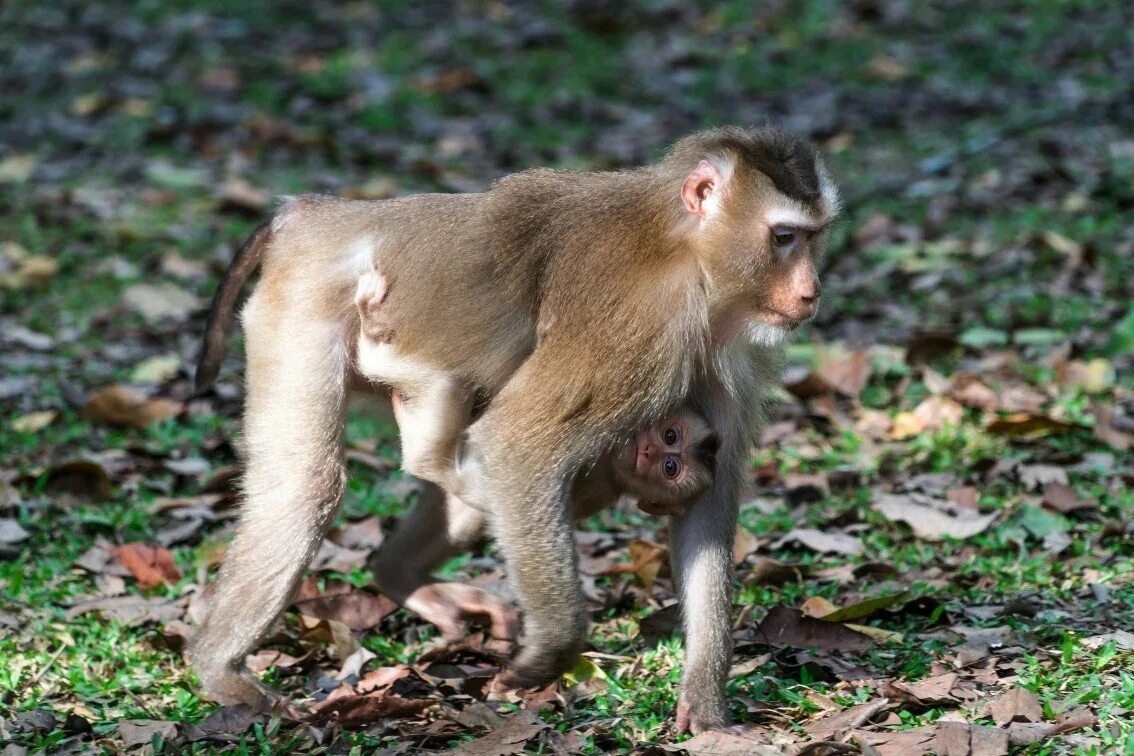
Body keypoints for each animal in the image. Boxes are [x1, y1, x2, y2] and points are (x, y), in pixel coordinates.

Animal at [351, 268, 716, 516]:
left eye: (670, 469)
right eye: (670, 435)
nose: (649, 451)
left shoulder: (596, 482)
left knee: (438, 410)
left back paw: (372, 336)